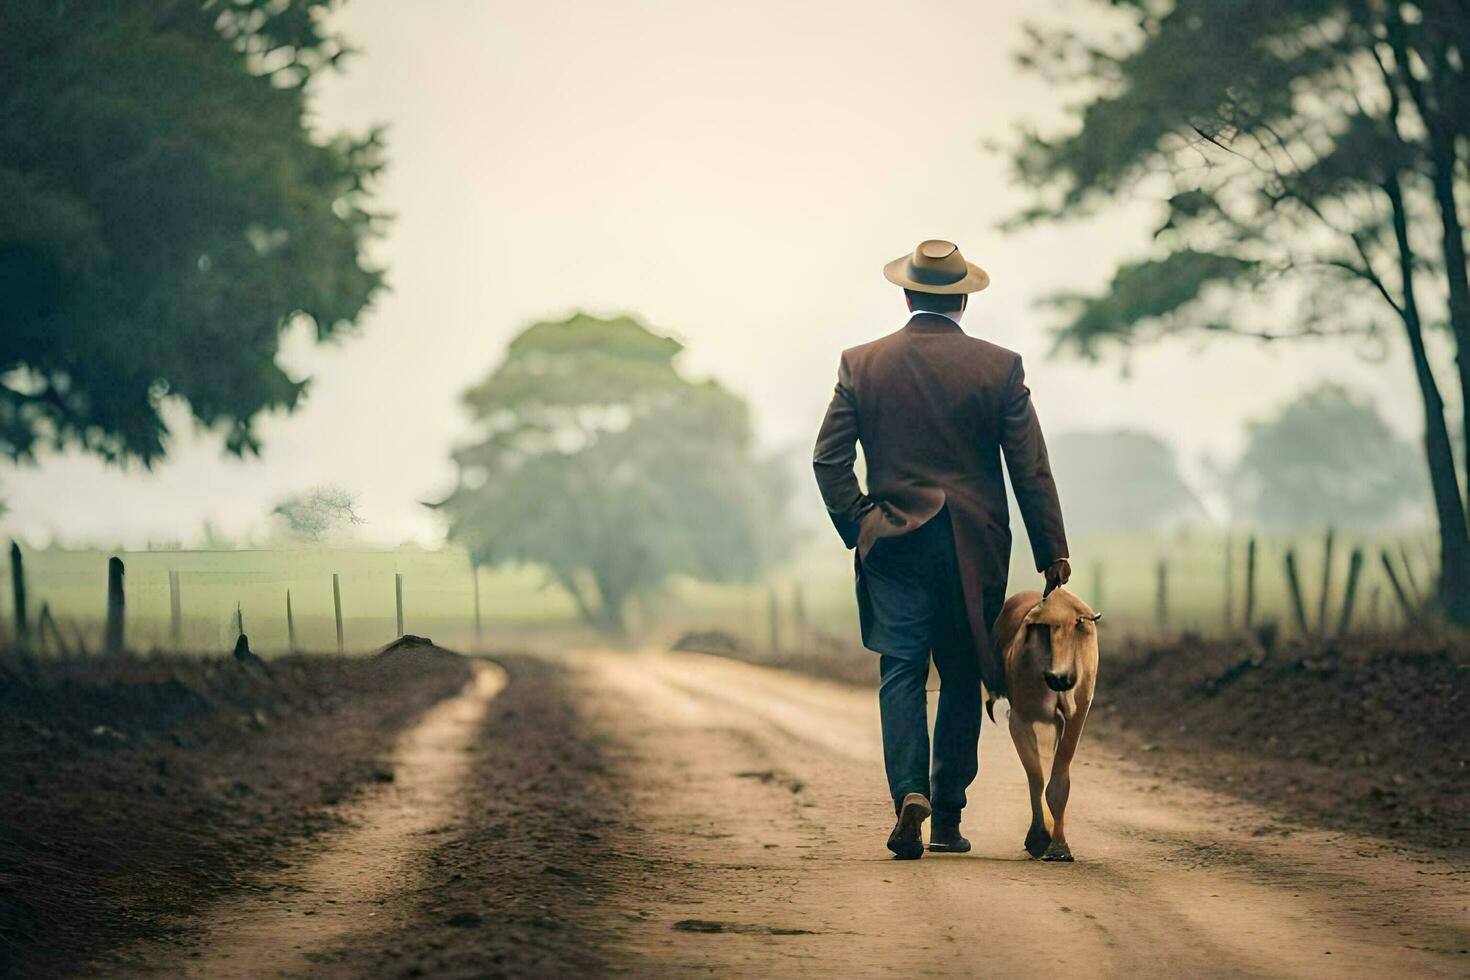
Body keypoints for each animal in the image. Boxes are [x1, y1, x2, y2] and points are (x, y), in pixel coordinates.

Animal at [987, 587, 1105, 863]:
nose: (1060, 677)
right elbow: (1042, 776)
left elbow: (1049, 779)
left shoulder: (1071, 717)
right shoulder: (1024, 719)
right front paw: (1045, 838)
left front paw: (1050, 841)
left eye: (1078, 631)